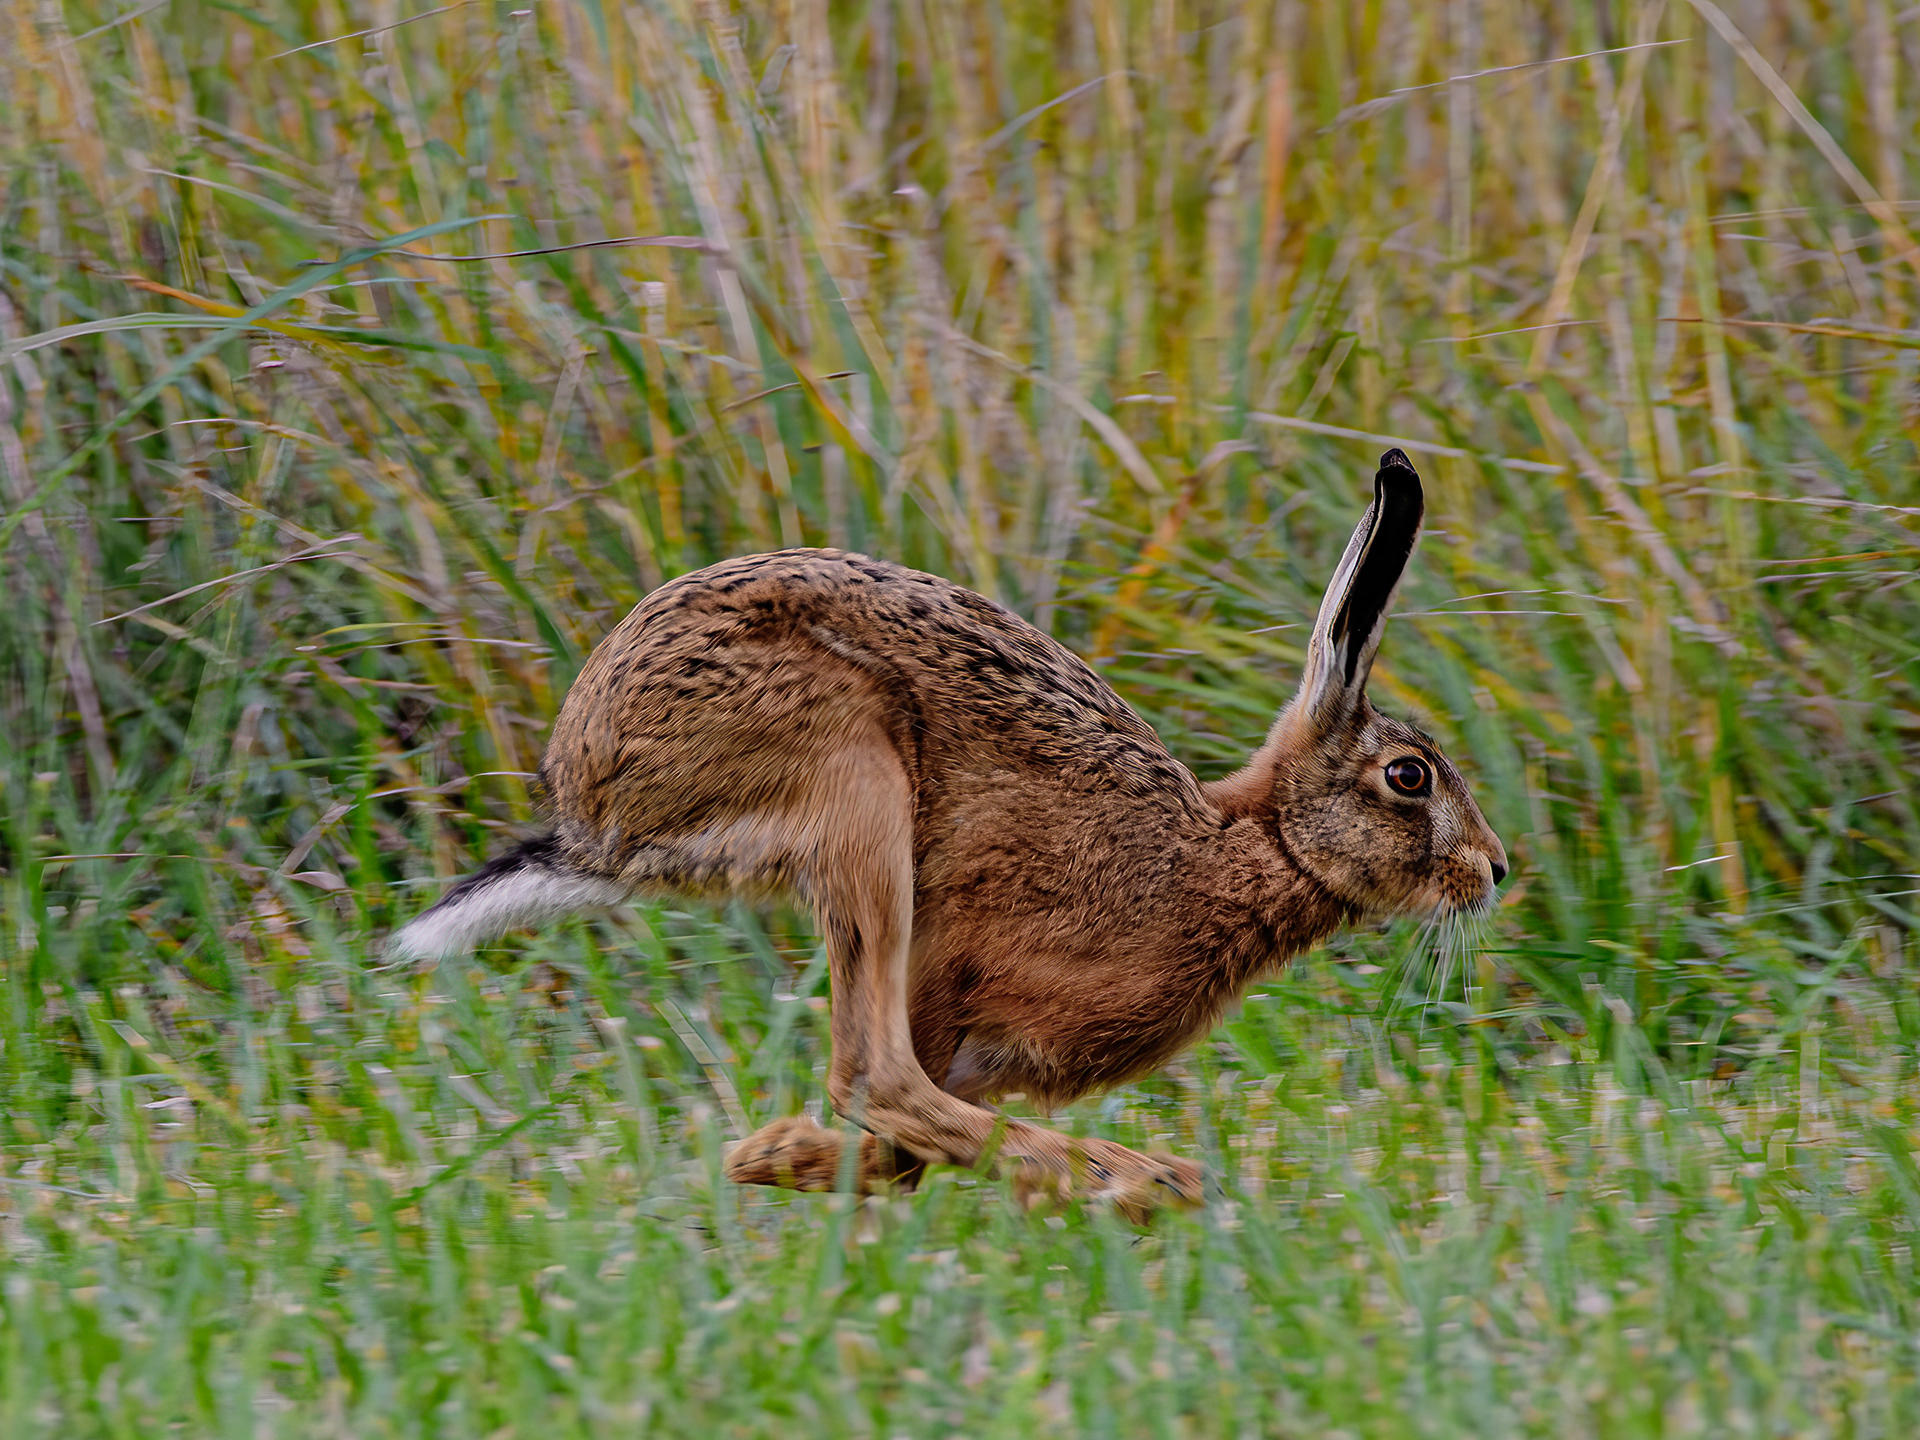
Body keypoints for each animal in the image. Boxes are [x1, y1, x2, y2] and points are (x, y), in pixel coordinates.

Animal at [388, 448, 1506, 1220]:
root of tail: (591, 804)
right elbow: (900, 1106)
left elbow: (909, 1147)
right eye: (1409, 778)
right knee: (871, 1071)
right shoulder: (962, 968)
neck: (1255, 843)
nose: (1493, 871)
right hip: (853, 781)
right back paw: (1150, 1180)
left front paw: (780, 1157)